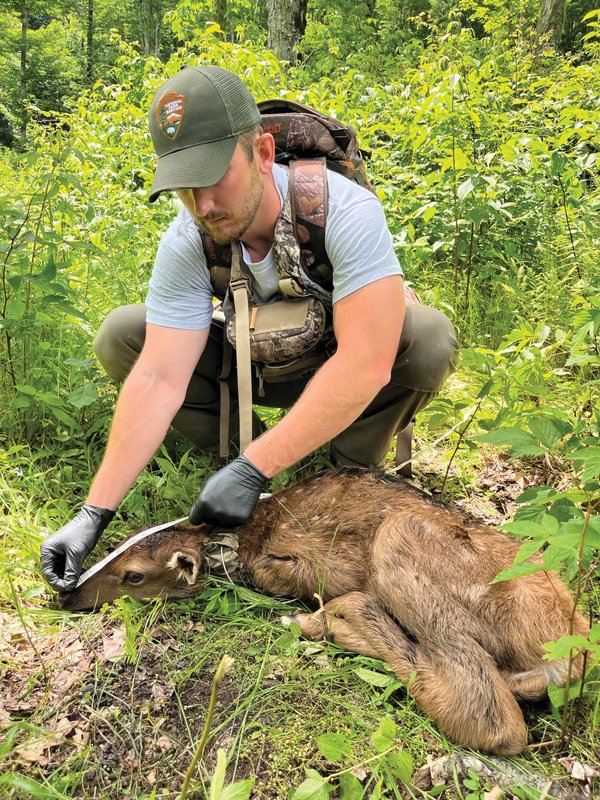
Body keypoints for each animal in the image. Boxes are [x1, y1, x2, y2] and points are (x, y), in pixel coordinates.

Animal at [62, 466, 592, 752]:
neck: (246, 537)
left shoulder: (325, 564)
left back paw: (335, 620)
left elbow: (283, 576)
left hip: (401, 537)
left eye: (134, 576)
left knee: (494, 719)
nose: (66, 595)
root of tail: (575, 652)